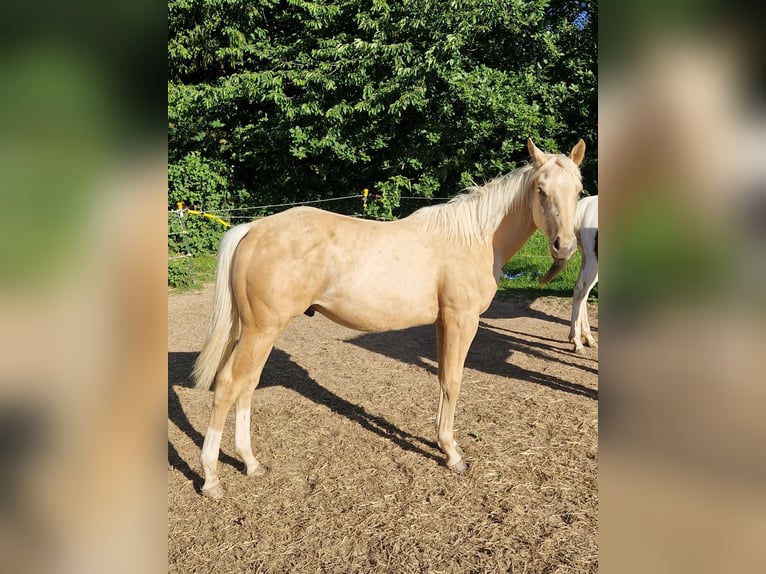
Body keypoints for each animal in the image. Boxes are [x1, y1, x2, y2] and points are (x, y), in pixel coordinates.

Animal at [192, 138, 586, 499]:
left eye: (579, 190)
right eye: (541, 189)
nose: (564, 246)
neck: (474, 238)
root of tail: (253, 229)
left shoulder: (444, 324)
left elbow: (442, 379)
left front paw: (442, 442)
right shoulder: (462, 321)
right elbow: (454, 382)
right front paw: (453, 454)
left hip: (259, 333)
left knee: (248, 384)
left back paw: (250, 462)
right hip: (261, 330)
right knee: (229, 384)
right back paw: (211, 479)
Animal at [540, 195, 598, 353]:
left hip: (587, 258)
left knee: (581, 290)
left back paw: (587, 338)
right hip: (594, 260)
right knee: (581, 290)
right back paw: (577, 341)